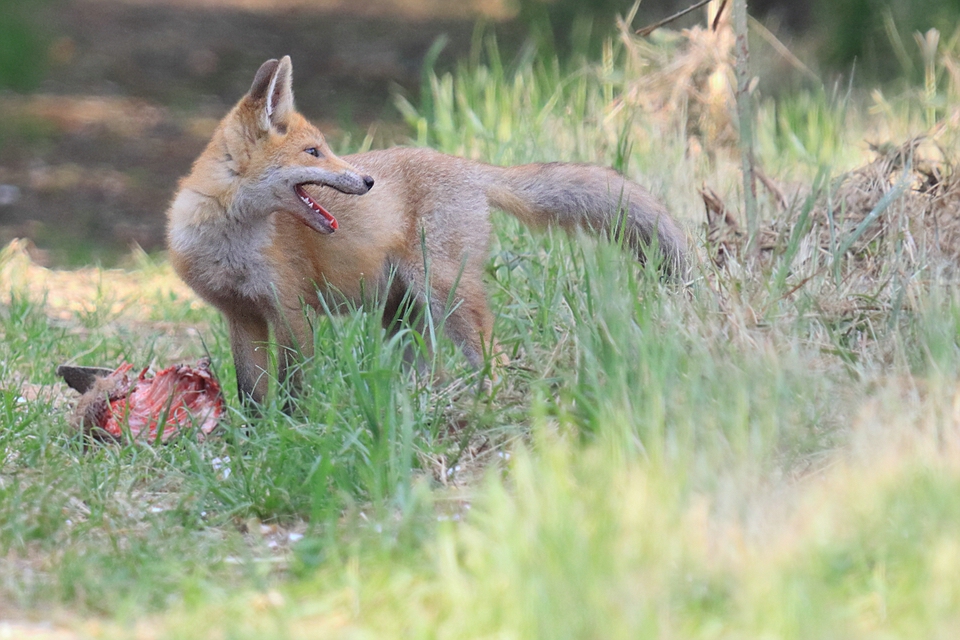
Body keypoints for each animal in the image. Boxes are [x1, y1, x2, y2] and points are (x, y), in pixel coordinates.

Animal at [167, 55, 688, 404]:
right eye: (314, 152)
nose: (367, 181)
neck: (230, 245)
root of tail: (467, 166)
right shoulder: (241, 315)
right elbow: (251, 394)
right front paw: (254, 441)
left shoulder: (290, 310)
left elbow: (295, 386)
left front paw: (294, 430)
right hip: (402, 316)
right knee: (428, 370)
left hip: (444, 293)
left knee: (493, 357)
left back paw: (487, 401)